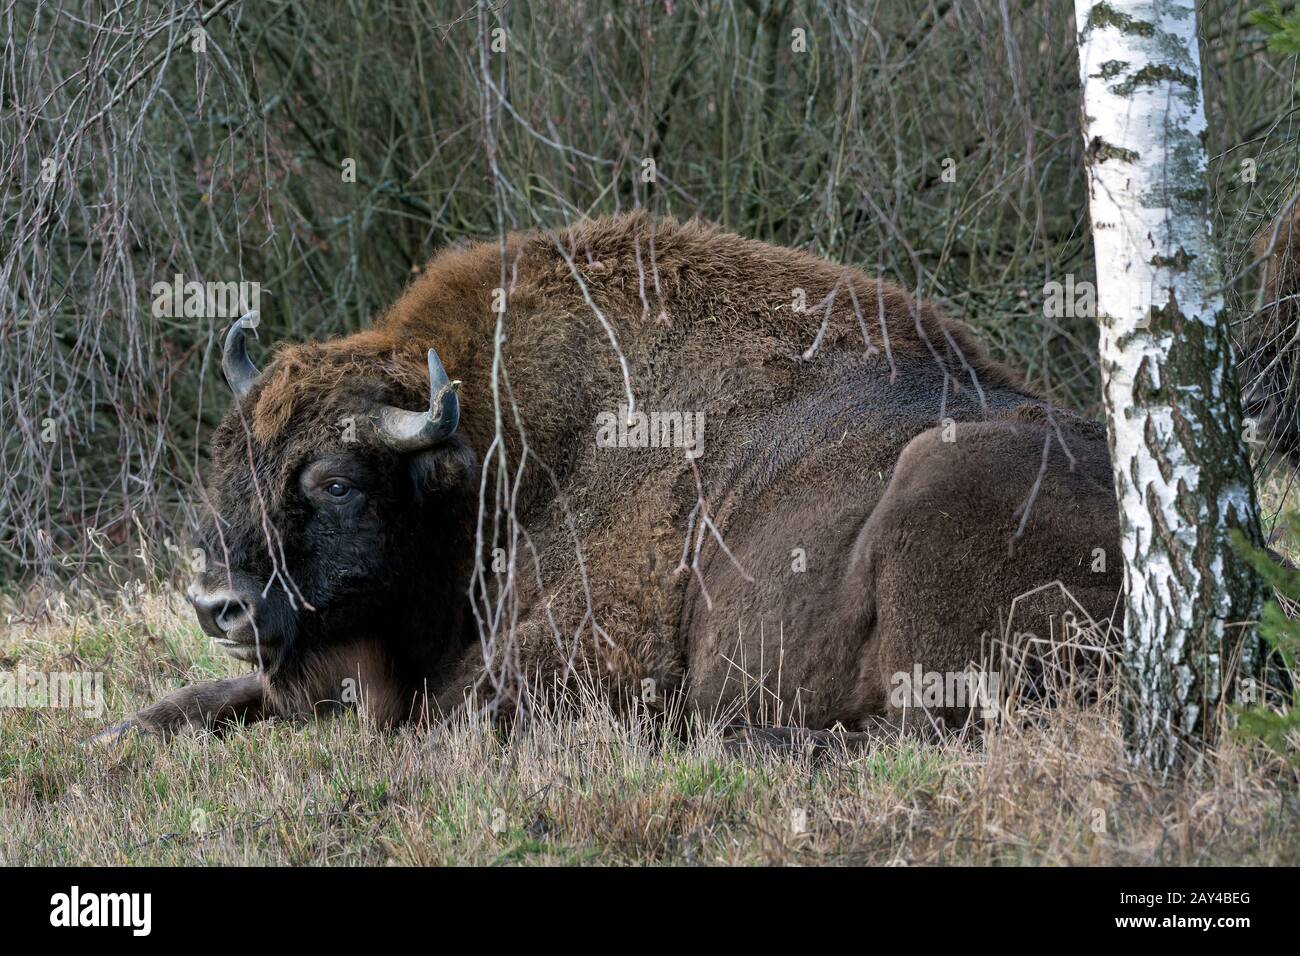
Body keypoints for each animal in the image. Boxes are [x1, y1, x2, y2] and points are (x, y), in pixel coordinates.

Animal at [98, 214, 1128, 738]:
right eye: (231, 459)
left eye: (339, 481)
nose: (218, 605)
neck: (505, 462)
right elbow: (220, 697)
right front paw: (119, 732)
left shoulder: (571, 663)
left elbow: (441, 716)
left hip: (931, 490)